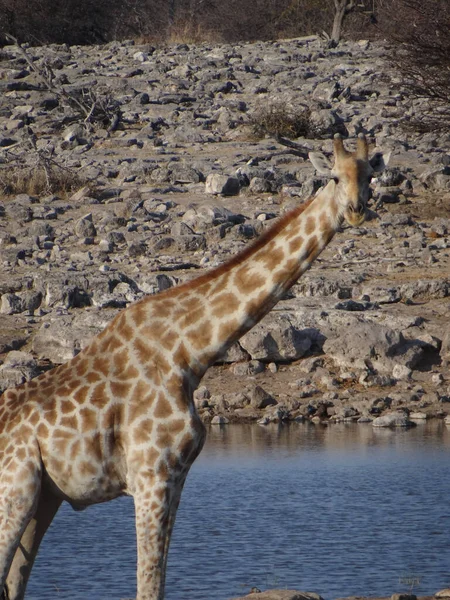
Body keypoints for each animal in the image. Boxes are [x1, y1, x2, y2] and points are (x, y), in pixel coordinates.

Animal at [0, 135, 388, 600]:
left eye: (369, 176)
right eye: (332, 176)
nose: (356, 209)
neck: (190, 353)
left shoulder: (176, 479)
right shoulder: (151, 475)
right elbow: (148, 584)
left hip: (44, 497)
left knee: (14, 579)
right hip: (15, 490)